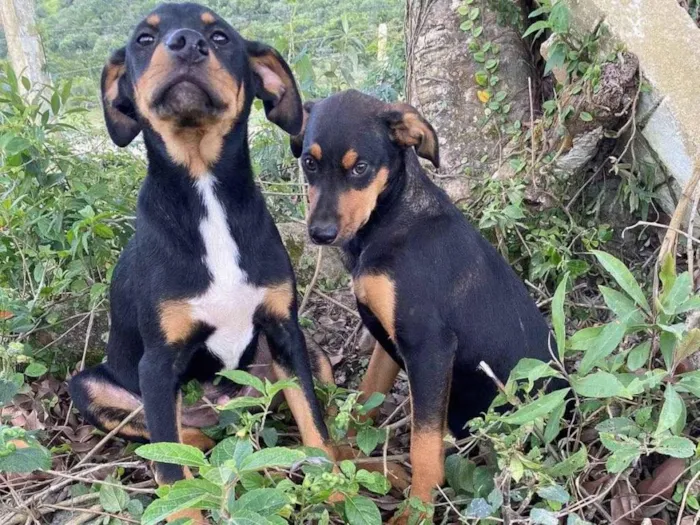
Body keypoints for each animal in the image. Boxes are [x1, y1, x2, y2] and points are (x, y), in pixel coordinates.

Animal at [69, 2, 334, 512]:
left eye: (221, 36)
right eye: (144, 39)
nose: (187, 44)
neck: (205, 192)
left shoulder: (285, 329)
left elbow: (313, 419)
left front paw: (332, 484)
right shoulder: (156, 365)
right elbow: (174, 477)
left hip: (294, 358)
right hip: (90, 386)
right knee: (168, 437)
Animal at [290, 91, 556, 512]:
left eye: (361, 168)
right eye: (309, 163)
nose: (320, 234)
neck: (393, 218)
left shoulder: (429, 346)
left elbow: (423, 445)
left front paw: (417, 509)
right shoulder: (393, 337)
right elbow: (367, 396)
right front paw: (350, 455)